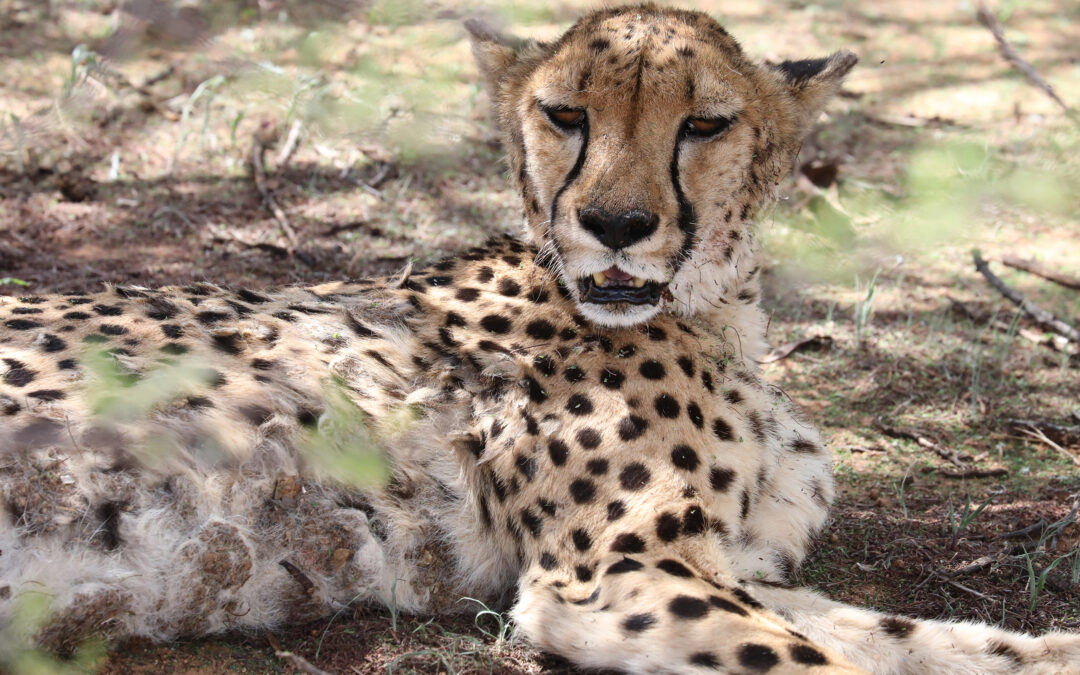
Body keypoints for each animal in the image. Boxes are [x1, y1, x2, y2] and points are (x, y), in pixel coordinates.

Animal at [2, 5, 1079, 674]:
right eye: (566, 114)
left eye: (705, 123)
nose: (616, 224)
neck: (718, 315)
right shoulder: (608, 579)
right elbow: (824, 660)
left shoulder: (725, 567)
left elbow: (913, 635)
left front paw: (1046, 650)